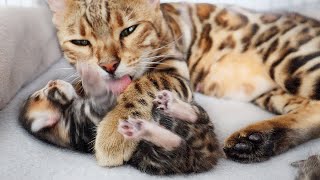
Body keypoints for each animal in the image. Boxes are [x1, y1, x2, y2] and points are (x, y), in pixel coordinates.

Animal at [46, 0, 320, 169]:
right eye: (81, 42)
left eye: (129, 30)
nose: (109, 66)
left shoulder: (174, 70)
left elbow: (142, 85)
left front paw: (114, 133)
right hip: (274, 91)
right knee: (313, 111)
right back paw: (256, 141)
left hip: (292, 60)